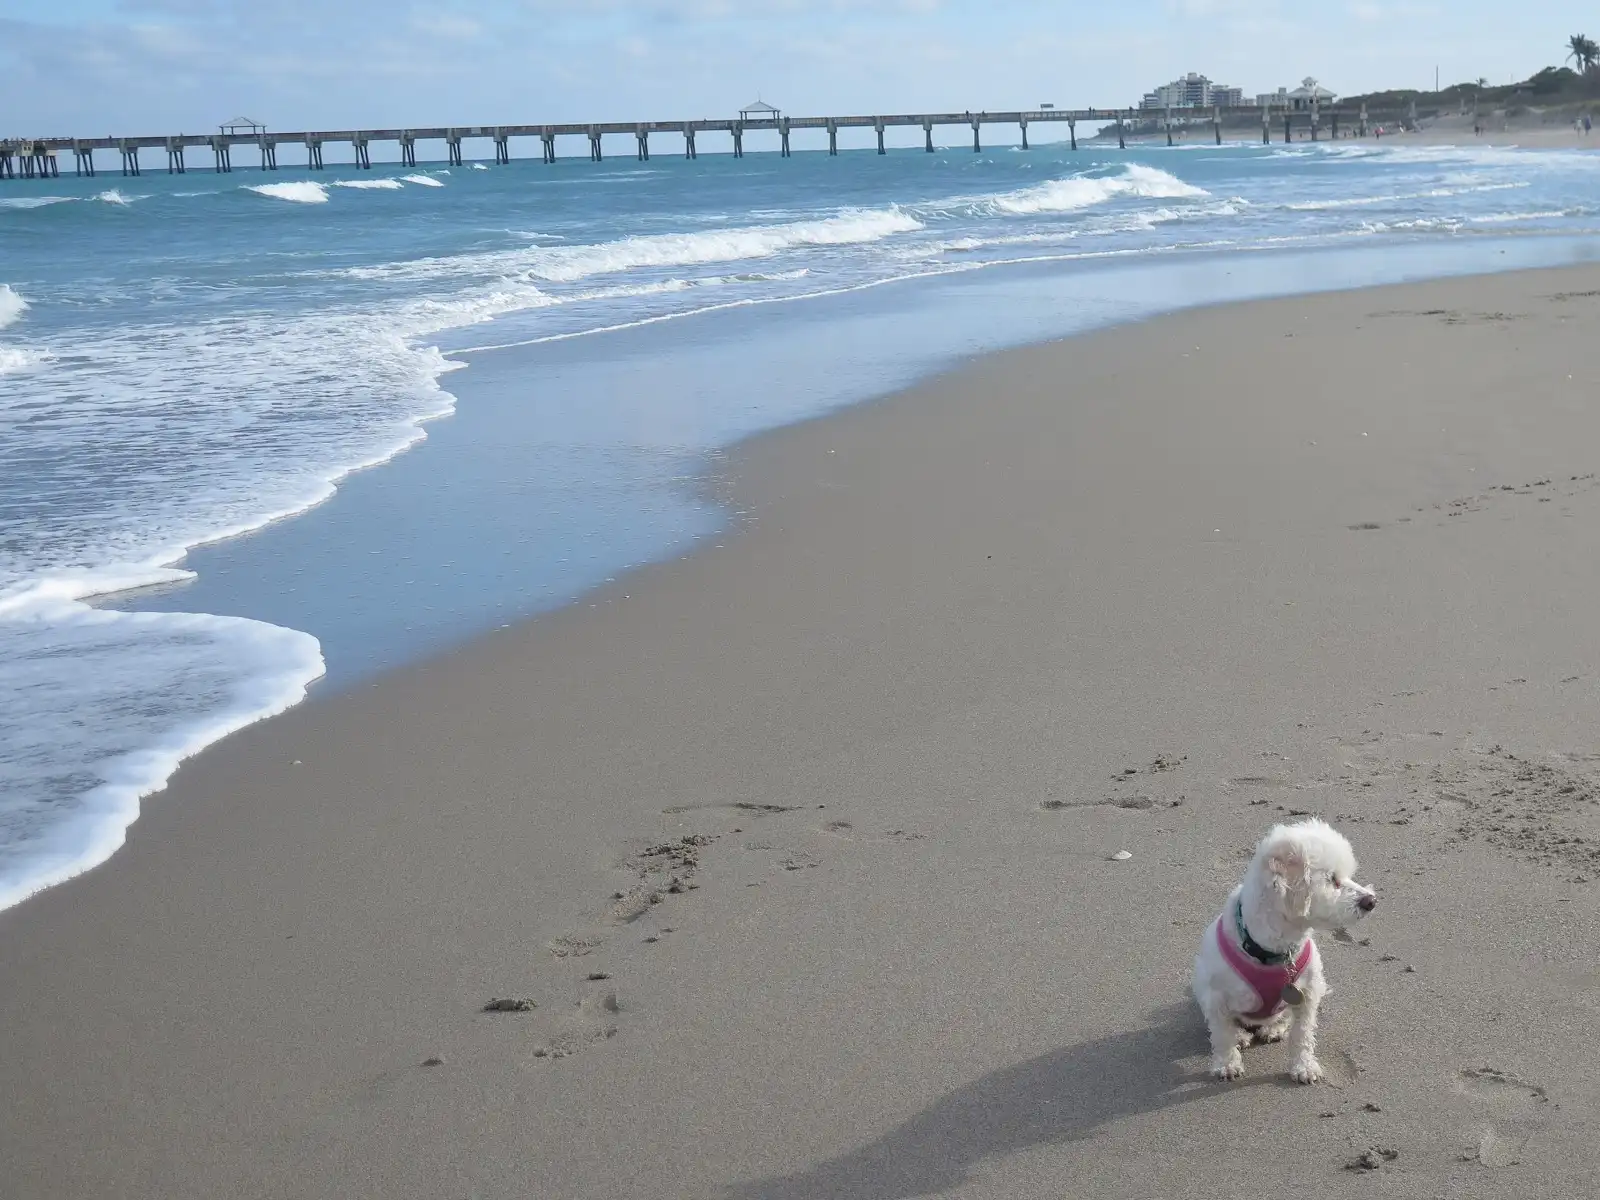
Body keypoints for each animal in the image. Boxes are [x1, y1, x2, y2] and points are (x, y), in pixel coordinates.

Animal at [1190, 819, 1376, 1088]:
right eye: (1332, 879)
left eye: (1347, 876)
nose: (1371, 901)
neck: (1276, 950)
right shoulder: (1215, 997)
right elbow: (1222, 1034)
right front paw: (1227, 1064)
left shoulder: (1307, 994)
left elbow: (1302, 1034)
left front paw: (1304, 1066)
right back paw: (1240, 1035)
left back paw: (1274, 1028)